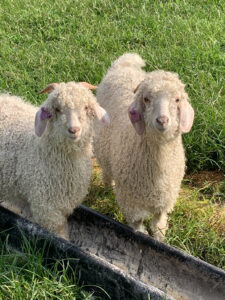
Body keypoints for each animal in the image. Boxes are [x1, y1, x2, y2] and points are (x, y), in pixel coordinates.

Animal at [94, 54, 194, 241]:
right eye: (147, 99)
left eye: (177, 99)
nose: (162, 120)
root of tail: (124, 63)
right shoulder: (131, 202)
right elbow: (138, 226)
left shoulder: (165, 198)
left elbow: (159, 224)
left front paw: (160, 238)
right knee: (107, 170)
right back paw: (108, 186)